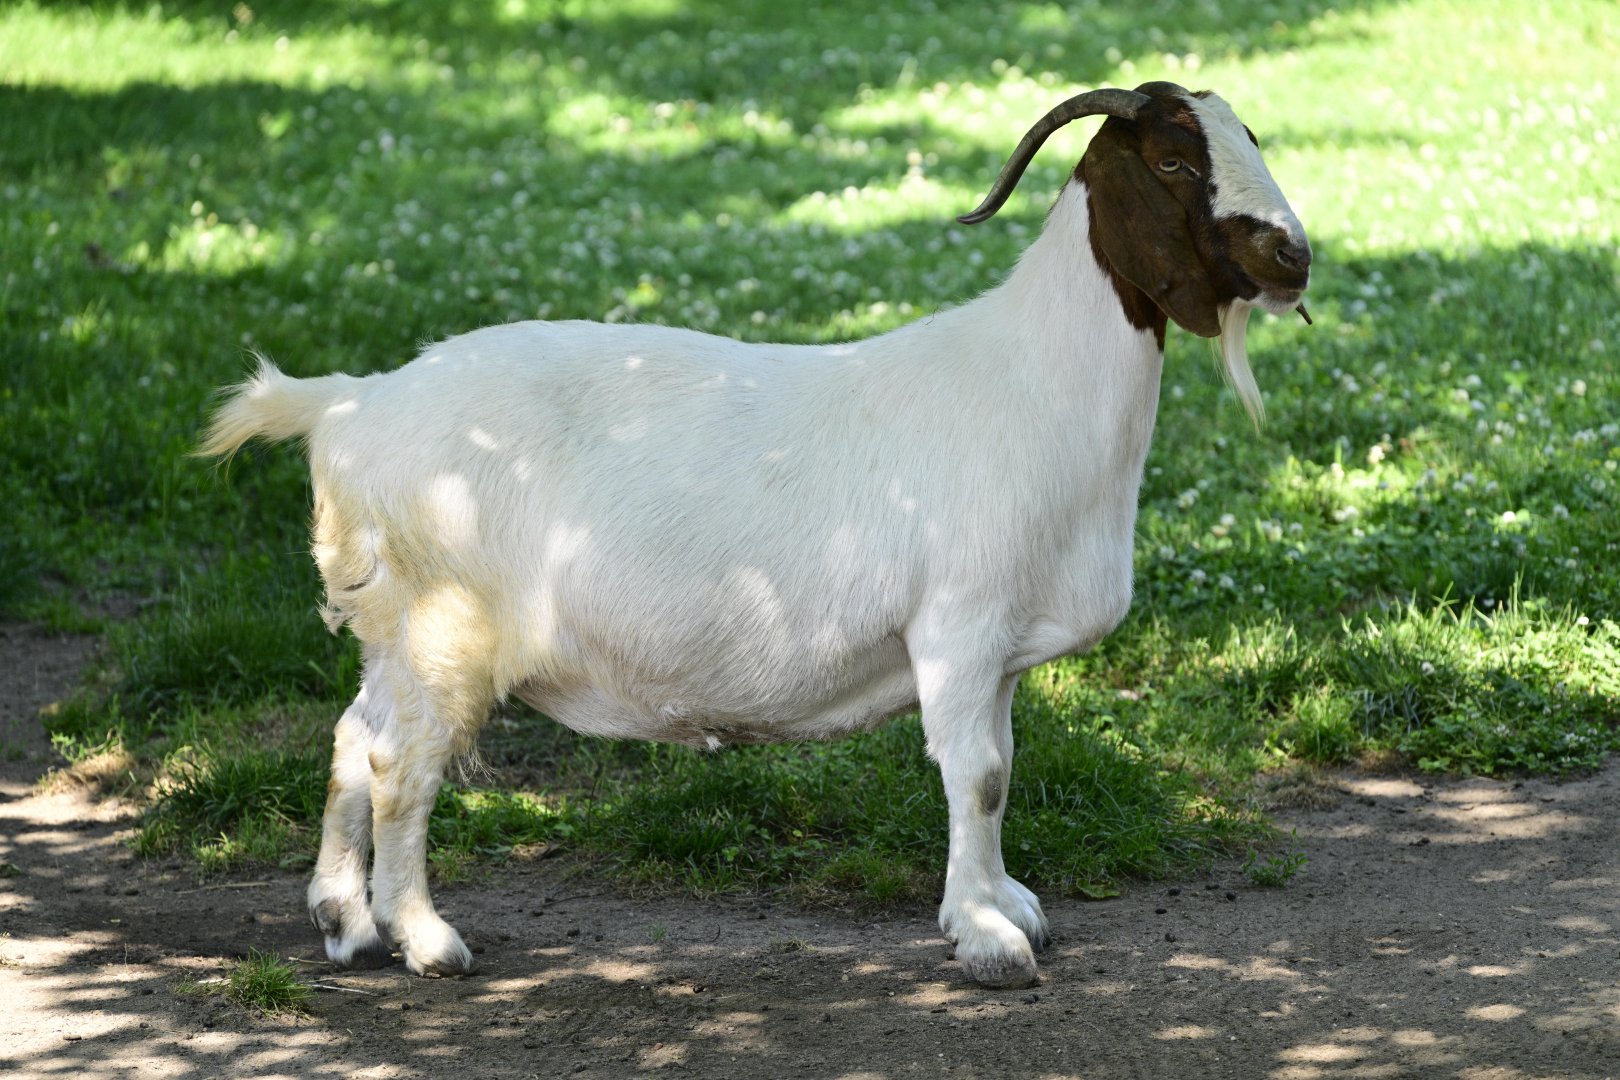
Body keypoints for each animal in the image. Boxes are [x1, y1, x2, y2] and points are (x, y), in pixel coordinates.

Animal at [200, 81, 1311, 989]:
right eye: (1171, 160)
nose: (1294, 255)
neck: (1033, 380)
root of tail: (351, 403)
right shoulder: (958, 627)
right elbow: (977, 774)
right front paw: (986, 938)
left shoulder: (996, 651)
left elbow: (998, 767)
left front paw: (1008, 904)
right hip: (448, 626)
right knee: (404, 764)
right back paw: (425, 938)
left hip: (395, 627)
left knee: (356, 736)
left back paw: (344, 922)